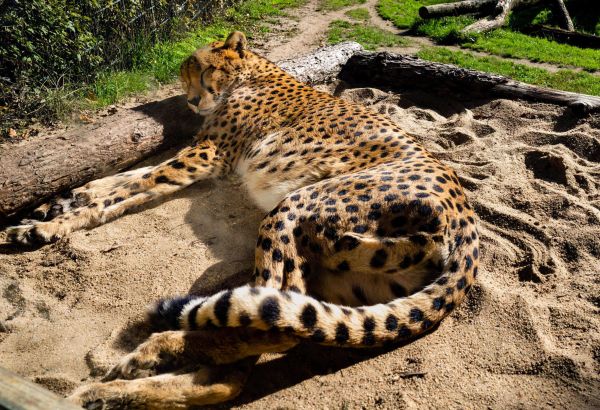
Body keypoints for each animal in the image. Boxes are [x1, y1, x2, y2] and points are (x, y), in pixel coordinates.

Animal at [7, 31, 480, 406]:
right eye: (185, 75)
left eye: (204, 71)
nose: (192, 99)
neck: (252, 71)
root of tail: (467, 224)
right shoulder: (202, 159)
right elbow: (128, 181)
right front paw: (65, 201)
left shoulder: (207, 155)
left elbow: (131, 185)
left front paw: (44, 226)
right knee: (239, 367)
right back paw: (111, 390)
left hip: (292, 209)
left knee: (275, 324)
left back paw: (150, 351)